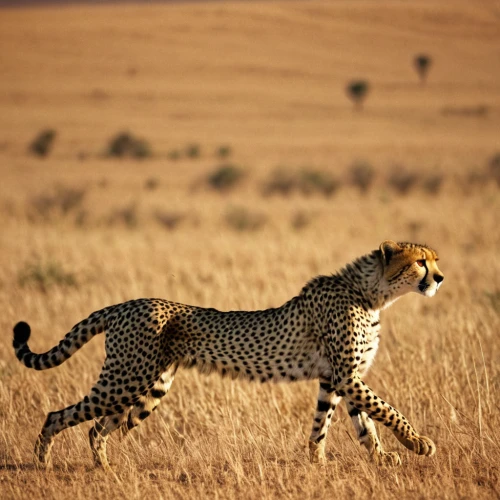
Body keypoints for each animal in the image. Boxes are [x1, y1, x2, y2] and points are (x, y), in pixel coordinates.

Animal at [11, 240, 444, 470]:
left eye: (434, 260)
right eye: (420, 261)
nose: (440, 277)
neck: (371, 294)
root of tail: (127, 304)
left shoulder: (336, 377)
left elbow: (344, 422)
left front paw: (338, 459)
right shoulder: (346, 375)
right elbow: (385, 410)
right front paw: (419, 443)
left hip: (147, 388)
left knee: (97, 428)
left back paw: (104, 468)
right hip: (125, 380)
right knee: (58, 415)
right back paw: (43, 462)